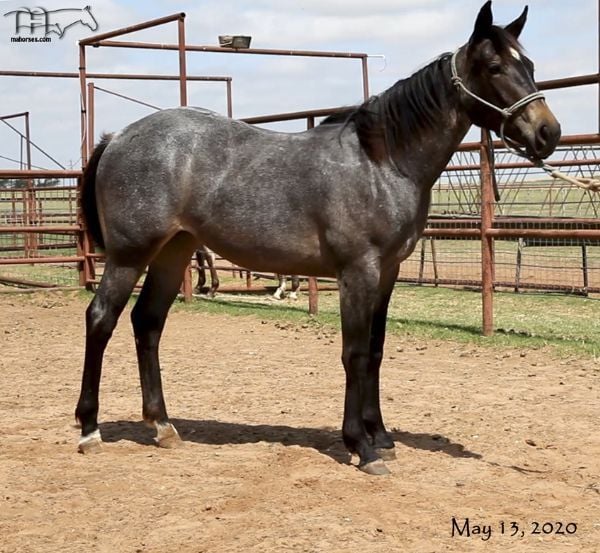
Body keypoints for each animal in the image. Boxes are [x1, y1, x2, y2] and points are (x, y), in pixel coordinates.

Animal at [76, 1, 564, 474]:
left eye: (529, 64)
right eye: (495, 67)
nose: (548, 132)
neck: (383, 162)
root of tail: (117, 136)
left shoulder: (387, 273)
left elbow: (376, 350)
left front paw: (381, 437)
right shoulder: (358, 272)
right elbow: (354, 353)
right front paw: (361, 447)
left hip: (173, 252)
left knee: (148, 322)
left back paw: (162, 426)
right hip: (129, 255)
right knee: (101, 319)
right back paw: (89, 429)